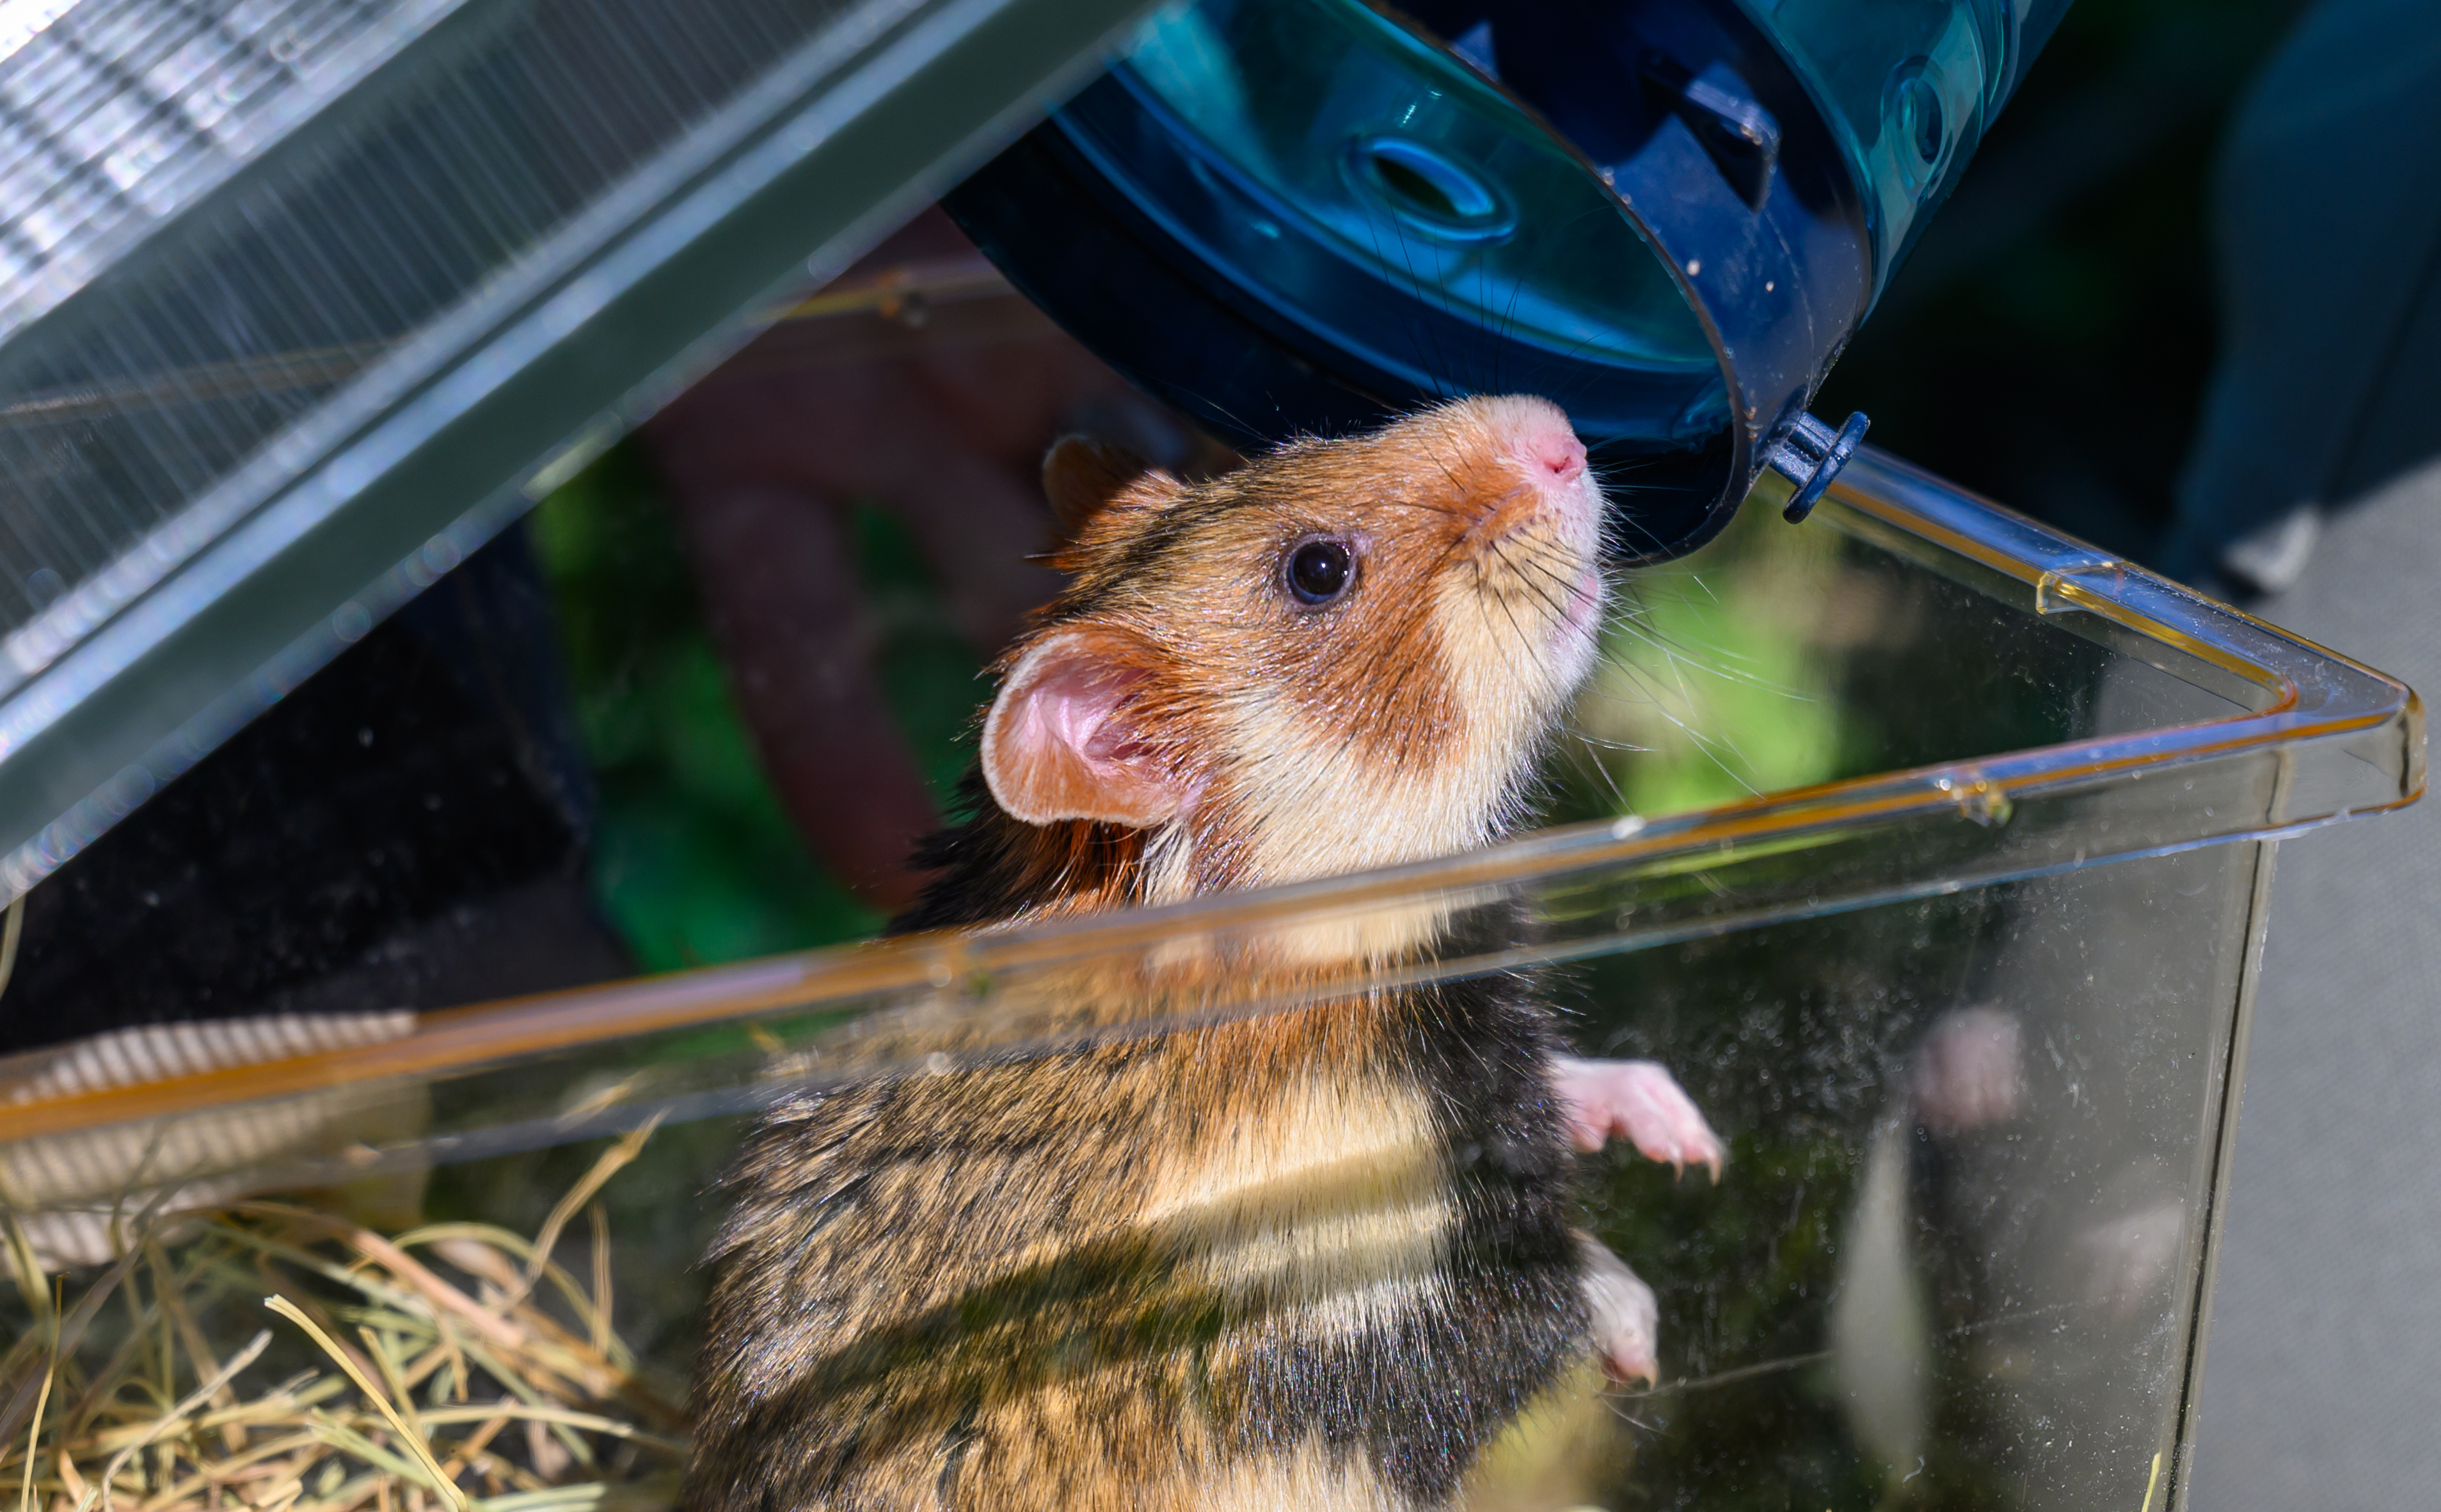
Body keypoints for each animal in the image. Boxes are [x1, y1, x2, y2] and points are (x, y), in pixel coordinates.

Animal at [689, 395, 1726, 1512]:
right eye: (1316, 570)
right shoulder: (1384, 1284)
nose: (1555, 429)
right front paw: (1643, 1333)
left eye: (1299, 441)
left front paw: (1685, 1133)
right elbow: (1562, 1292)